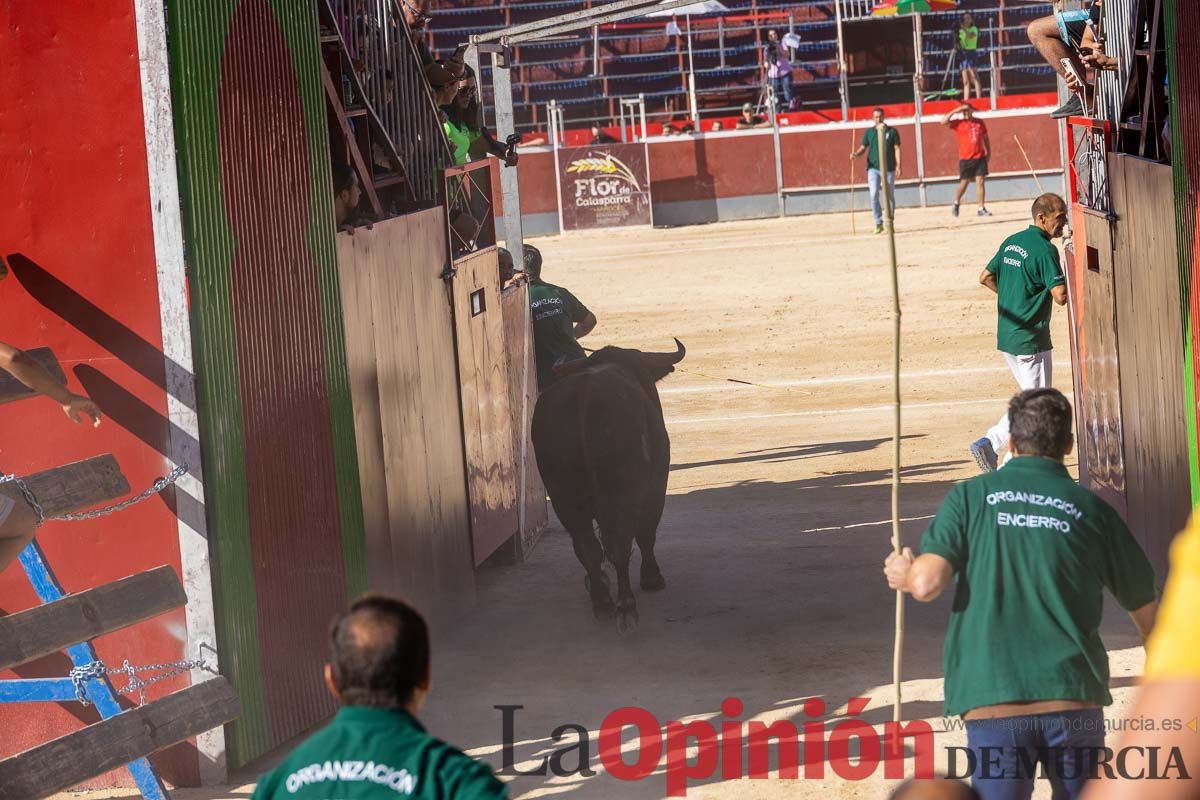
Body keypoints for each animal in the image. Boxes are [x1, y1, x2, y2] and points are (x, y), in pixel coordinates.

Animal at [532, 338, 691, 633]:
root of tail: (585, 395)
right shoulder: (655, 488)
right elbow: (646, 532)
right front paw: (652, 578)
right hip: (621, 491)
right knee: (620, 542)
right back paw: (626, 606)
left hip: (563, 496)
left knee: (586, 545)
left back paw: (602, 600)